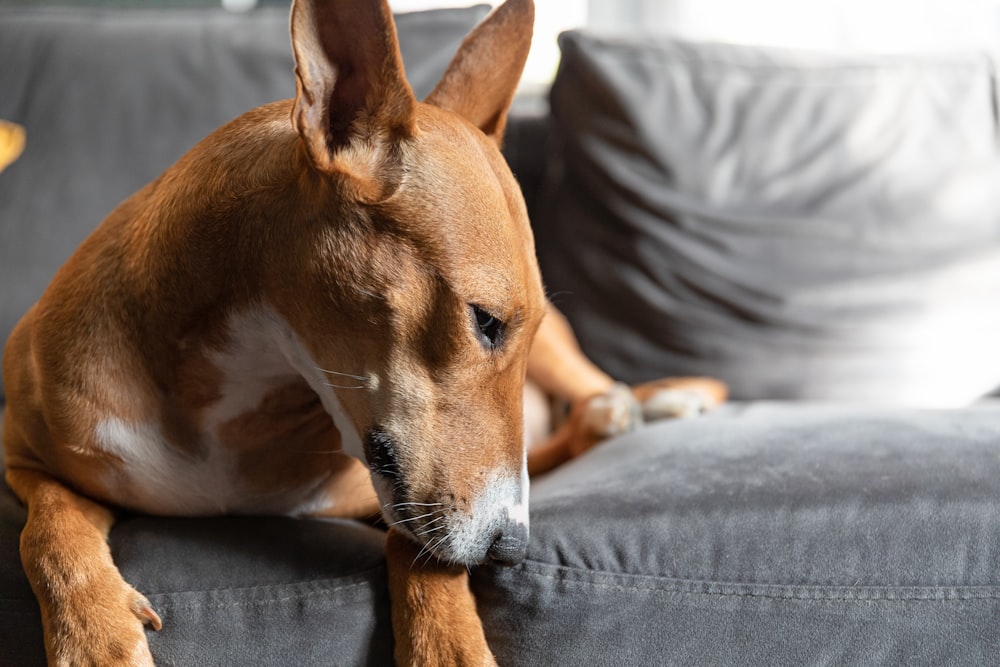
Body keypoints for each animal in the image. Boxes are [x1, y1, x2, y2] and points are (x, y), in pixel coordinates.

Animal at [0, 2, 720, 664]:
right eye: (485, 322)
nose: (510, 551)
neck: (229, 391)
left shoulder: (399, 495)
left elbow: (423, 547)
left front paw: (448, 644)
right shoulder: (26, 461)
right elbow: (47, 530)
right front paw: (94, 635)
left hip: (561, 358)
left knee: (593, 394)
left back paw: (651, 402)